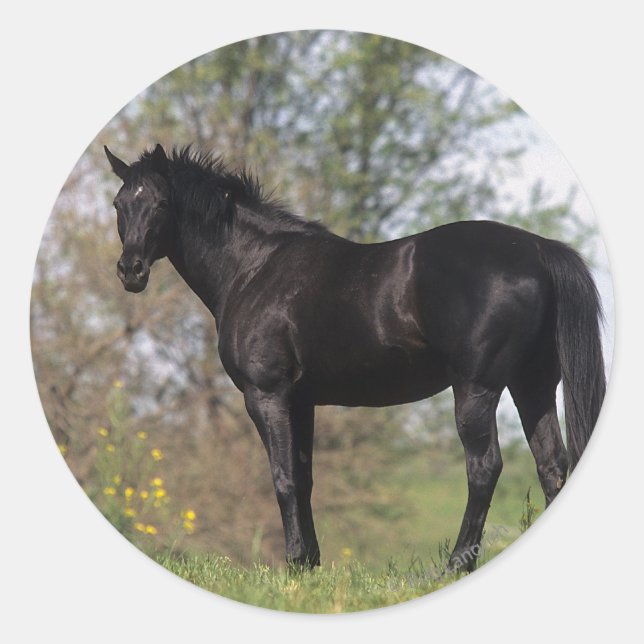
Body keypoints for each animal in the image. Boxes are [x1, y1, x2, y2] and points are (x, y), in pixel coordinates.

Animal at [104, 143, 606, 571]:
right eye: (118, 204)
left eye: (161, 204)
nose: (130, 271)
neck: (254, 268)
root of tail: (538, 249)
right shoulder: (301, 400)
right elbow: (304, 478)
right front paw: (309, 565)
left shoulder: (266, 394)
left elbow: (283, 478)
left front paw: (293, 565)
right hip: (531, 384)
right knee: (552, 466)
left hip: (477, 389)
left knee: (484, 469)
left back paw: (456, 564)